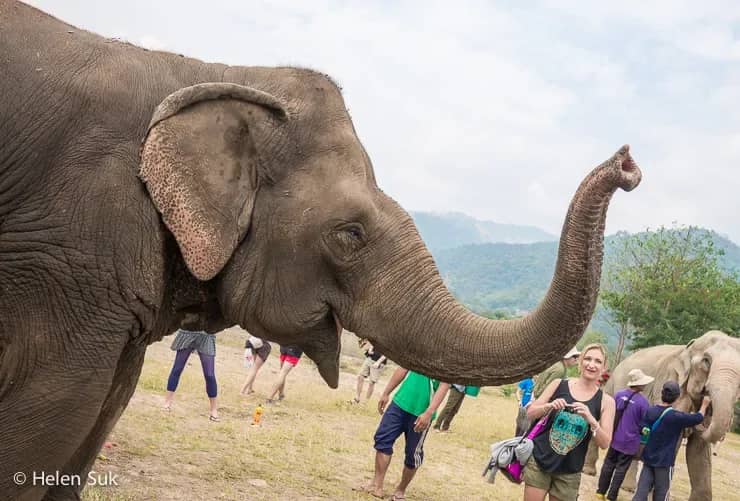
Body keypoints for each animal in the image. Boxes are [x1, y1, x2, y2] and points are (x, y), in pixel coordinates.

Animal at [0, 2, 642, 499]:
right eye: (349, 234)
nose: (628, 163)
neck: (218, 70)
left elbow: (104, 408)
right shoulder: (73, 238)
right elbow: (51, 419)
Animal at [583, 331, 740, 501]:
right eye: (706, 361)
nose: (706, 401)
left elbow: (698, 449)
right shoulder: (669, 382)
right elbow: (673, 440)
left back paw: (628, 488)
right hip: (610, 387)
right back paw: (589, 471)